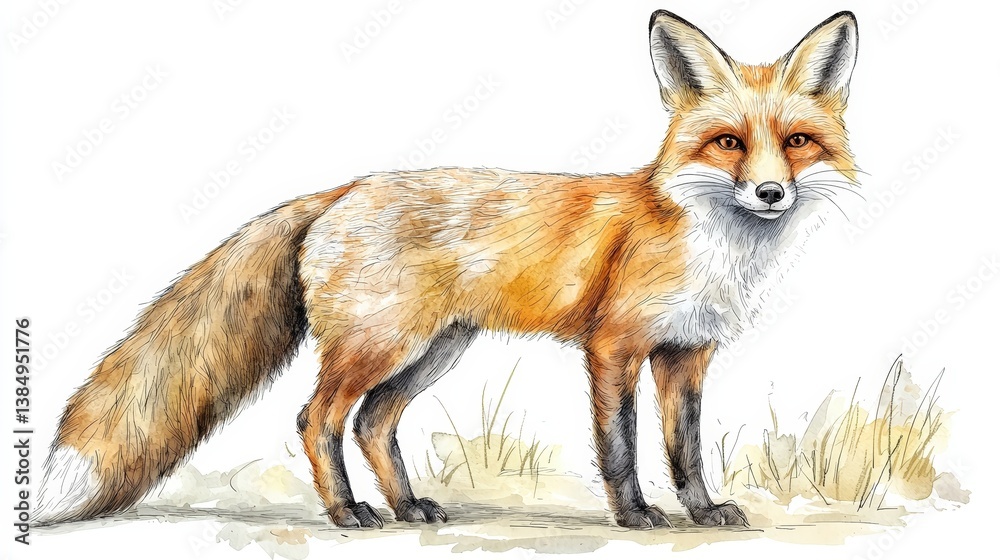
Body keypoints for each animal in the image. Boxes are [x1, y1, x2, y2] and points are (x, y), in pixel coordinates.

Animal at [34, 10, 859, 530]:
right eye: (728, 142)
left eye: (796, 142)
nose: (770, 192)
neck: (710, 244)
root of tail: (341, 188)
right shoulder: (614, 348)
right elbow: (621, 448)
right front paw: (635, 516)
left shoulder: (688, 352)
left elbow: (685, 449)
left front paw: (702, 511)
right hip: (379, 345)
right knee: (317, 417)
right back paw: (348, 513)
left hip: (435, 349)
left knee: (373, 422)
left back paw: (407, 508)